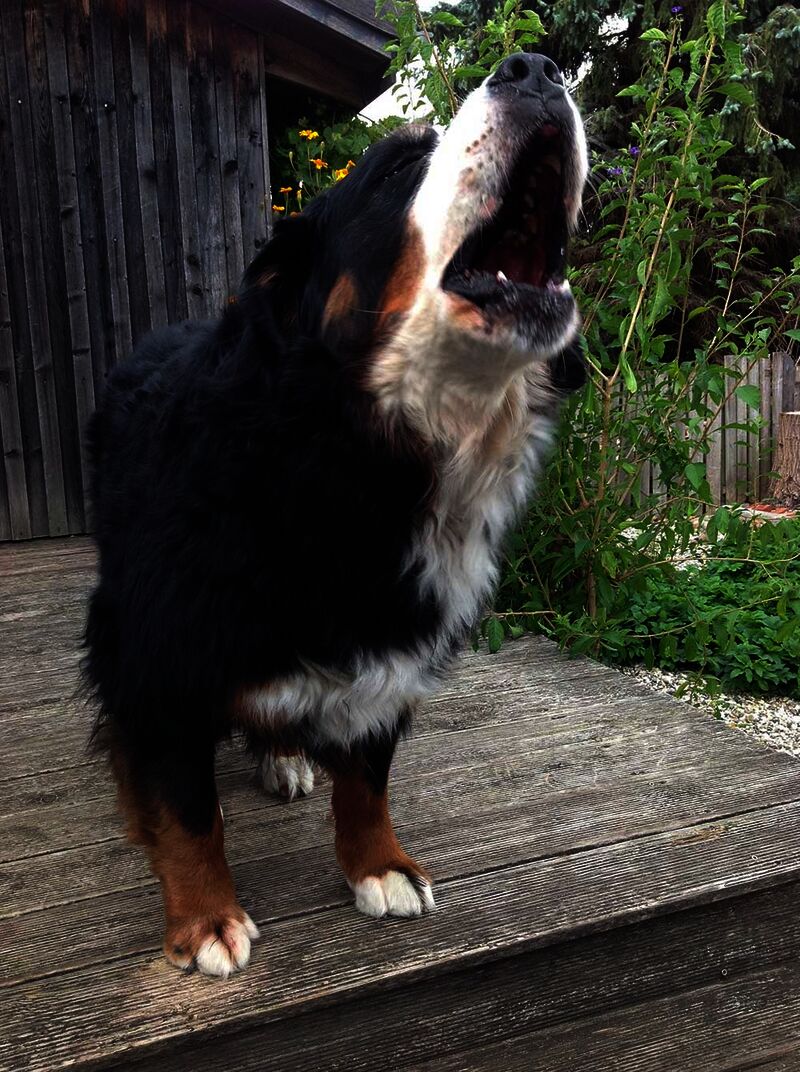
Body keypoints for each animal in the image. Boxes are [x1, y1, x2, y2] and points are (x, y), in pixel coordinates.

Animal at [83, 53, 588, 977]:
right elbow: (185, 806)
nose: (535, 69)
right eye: (393, 171)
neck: (352, 459)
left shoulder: (392, 645)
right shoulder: (156, 648)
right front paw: (206, 918)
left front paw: (380, 865)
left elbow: (368, 773)